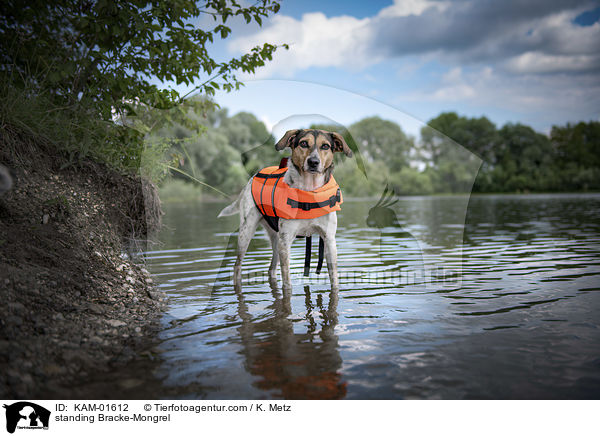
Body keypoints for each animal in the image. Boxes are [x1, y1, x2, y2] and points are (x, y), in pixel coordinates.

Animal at [219, 129, 352, 292]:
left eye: (325, 146)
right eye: (303, 143)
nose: (313, 162)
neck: (309, 191)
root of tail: (251, 178)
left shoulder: (329, 240)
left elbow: (334, 281)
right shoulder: (286, 241)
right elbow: (287, 282)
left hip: (276, 241)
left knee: (271, 269)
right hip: (246, 234)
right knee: (237, 266)